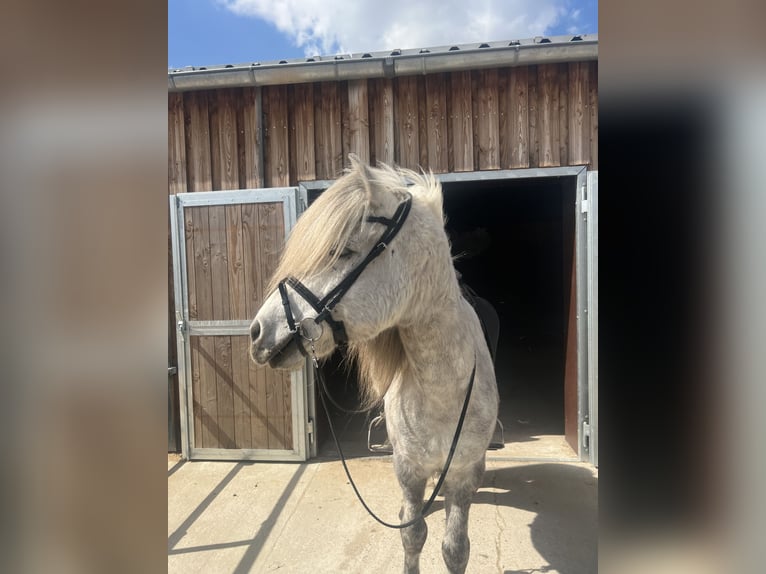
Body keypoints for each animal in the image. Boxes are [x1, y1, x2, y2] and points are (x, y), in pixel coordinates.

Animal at [249, 156, 499, 574]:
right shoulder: (409, 470)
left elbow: (455, 549)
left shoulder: (464, 473)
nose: (257, 332)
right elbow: (412, 534)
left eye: (343, 251)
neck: (442, 389)